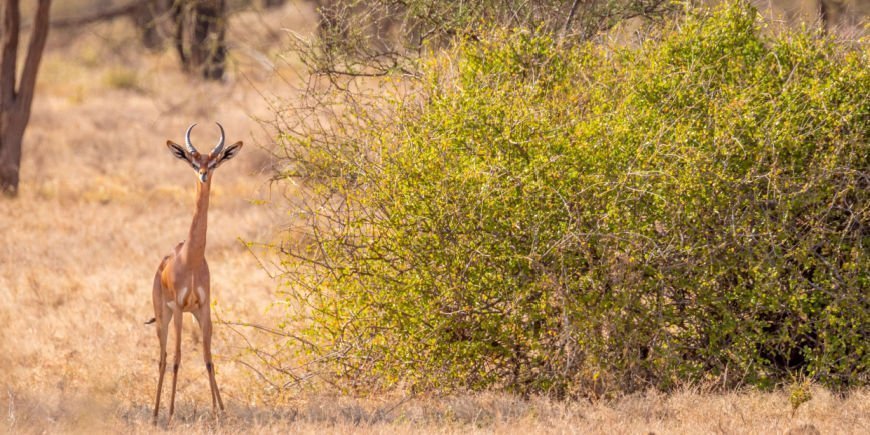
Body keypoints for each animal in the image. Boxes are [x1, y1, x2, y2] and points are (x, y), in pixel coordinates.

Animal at [146, 122, 242, 426]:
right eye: (193, 161)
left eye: (214, 161)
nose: (202, 174)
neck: (190, 258)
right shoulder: (178, 307)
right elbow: (177, 359)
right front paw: (170, 414)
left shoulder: (204, 308)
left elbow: (209, 358)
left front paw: (219, 412)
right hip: (164, 316)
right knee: (164, 357)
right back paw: (156, 415)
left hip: (190, 315)